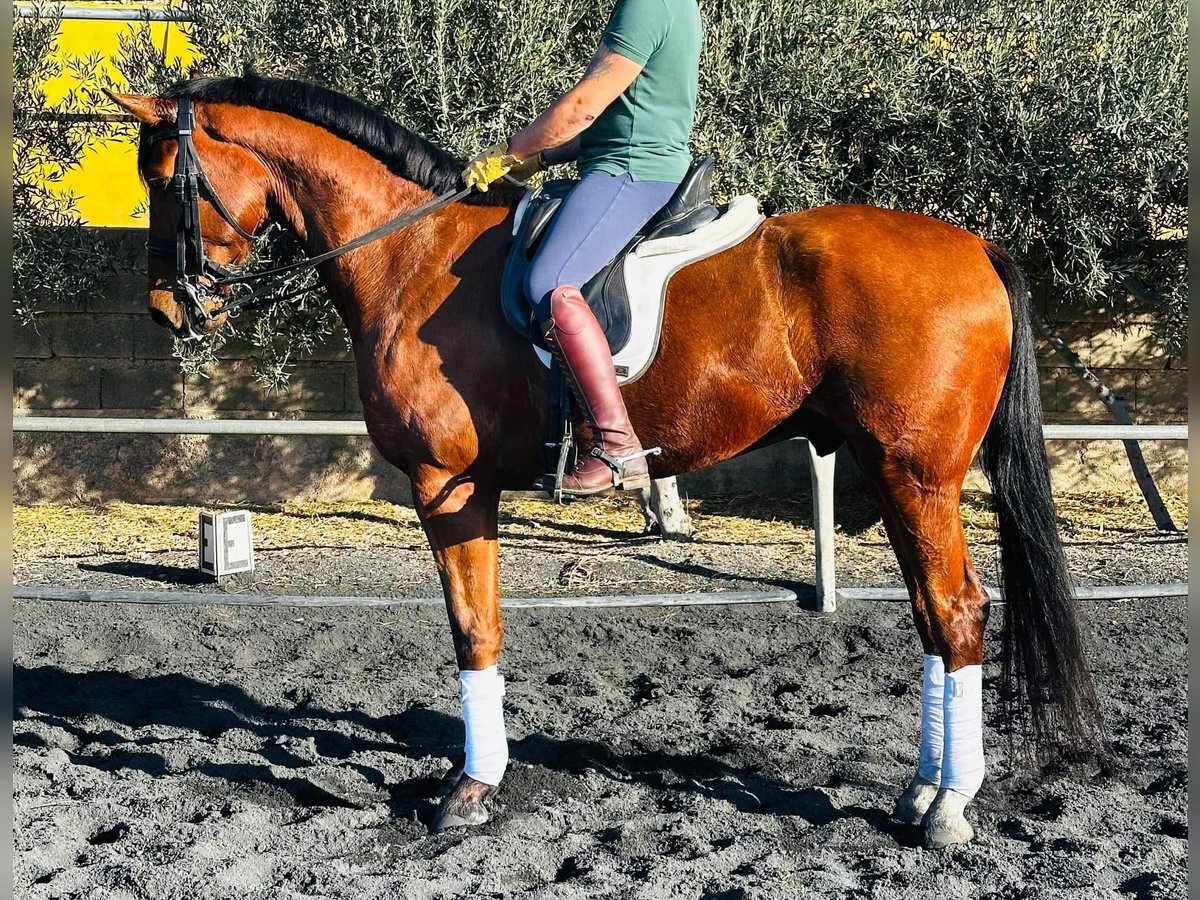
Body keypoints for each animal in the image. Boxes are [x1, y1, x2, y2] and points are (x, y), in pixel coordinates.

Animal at [110, 79, 1099, 854]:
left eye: (161, 179)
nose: (164, 308)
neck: (408, 251)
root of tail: (975, 247)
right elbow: (480, 629)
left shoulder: (447, 485)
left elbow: (474, 631)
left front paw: (470, 791)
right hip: (891, 472)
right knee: (934, 618)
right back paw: (923, 791)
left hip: (915, 474)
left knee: (957, 611)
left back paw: (950, 807)